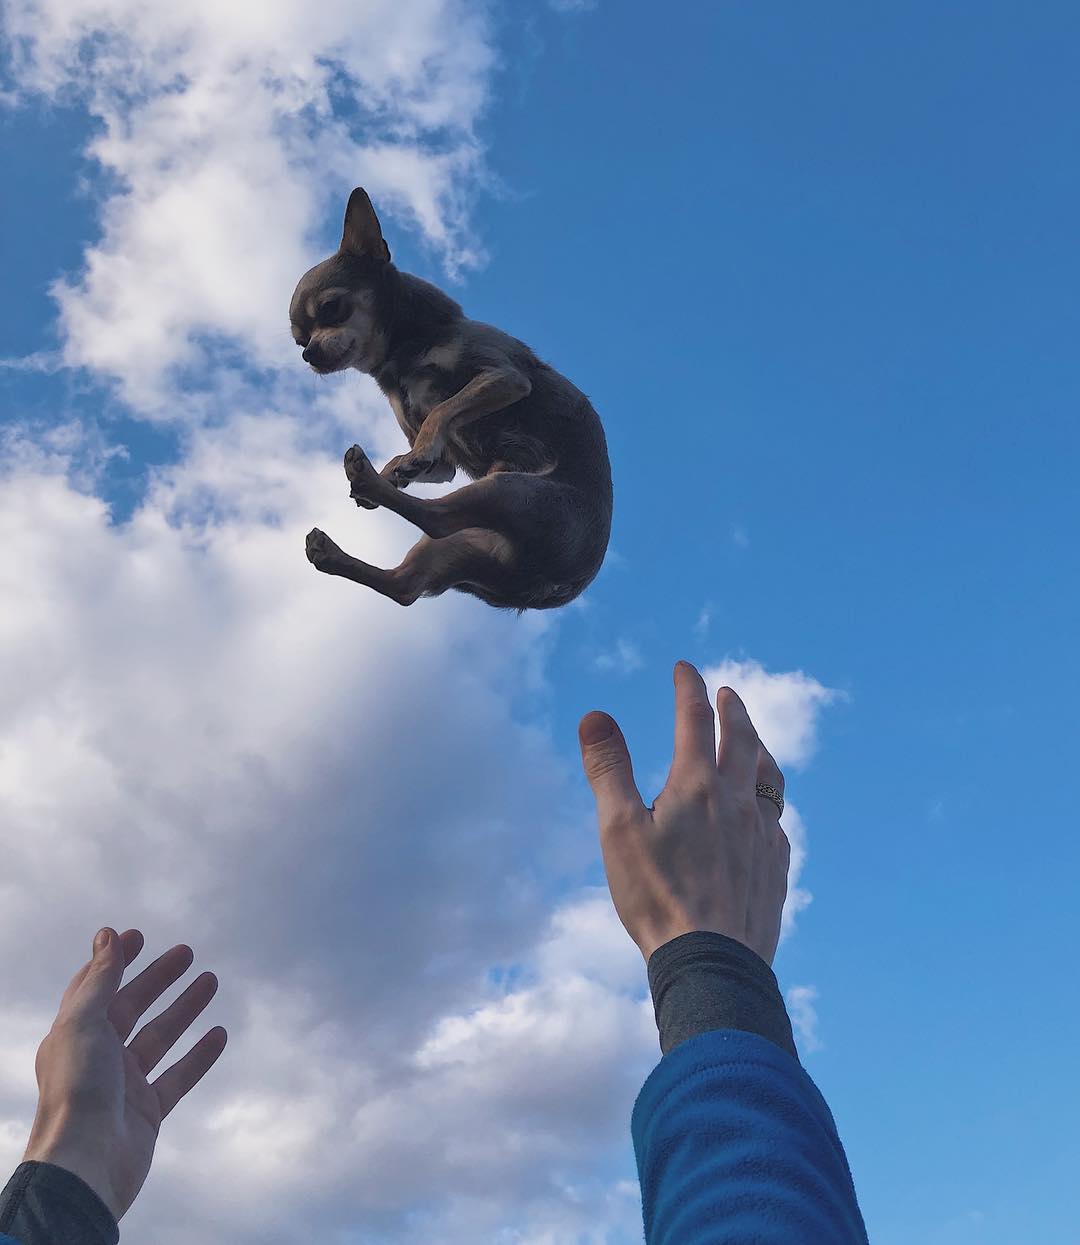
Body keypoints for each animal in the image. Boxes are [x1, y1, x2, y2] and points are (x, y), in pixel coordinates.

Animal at [291, 186, 612, 610]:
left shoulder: (504, 378)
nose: (309, 355)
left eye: (331, 307)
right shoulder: (444, 465)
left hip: (514, 491)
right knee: (404, 584)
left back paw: (366, 481)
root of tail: (551, 590)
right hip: (459, 542)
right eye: (299, 341)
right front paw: (396, 469)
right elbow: (426, 446)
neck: (399, 360)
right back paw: (330, 550)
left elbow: (442, 410)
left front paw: (401, 464)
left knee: (437, 520)